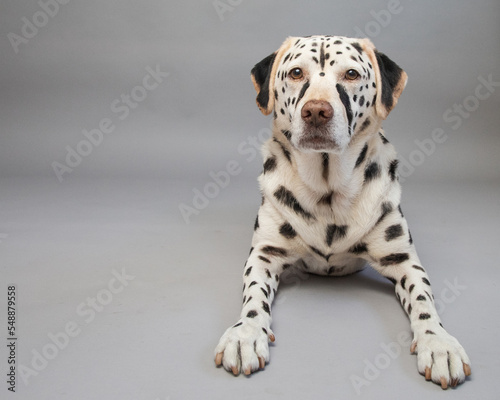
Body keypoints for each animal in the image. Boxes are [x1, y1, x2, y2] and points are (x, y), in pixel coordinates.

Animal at [213, 36, 470, 390]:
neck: (327, 192)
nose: (316, 111)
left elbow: (423, 301)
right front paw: (246, 335)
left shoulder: (404, 260)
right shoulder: (264, 254)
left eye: (350, 74)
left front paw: (440, 343)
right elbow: (253, 297)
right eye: (296, 72)